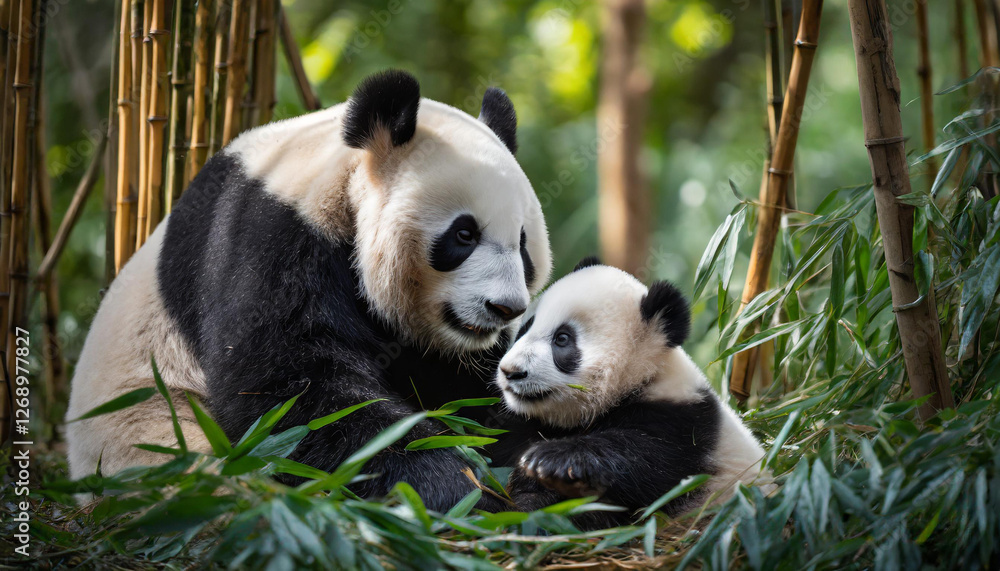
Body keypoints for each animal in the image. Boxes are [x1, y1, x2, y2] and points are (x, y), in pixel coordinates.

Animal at [65, 70, 552, 512]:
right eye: (464, 234)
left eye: (523, 244)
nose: (505, 308)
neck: (340, 179)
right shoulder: (267, 236)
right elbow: (291, 393)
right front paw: (454, 485)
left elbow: (478, 394)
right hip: (152, 433)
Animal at [496, 257, 770, 528]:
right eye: (525, 328)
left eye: (562, 339)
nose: (511, 371)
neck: (643, 377)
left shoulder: (682, 426)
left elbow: (646, 463)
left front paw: (549, 461)